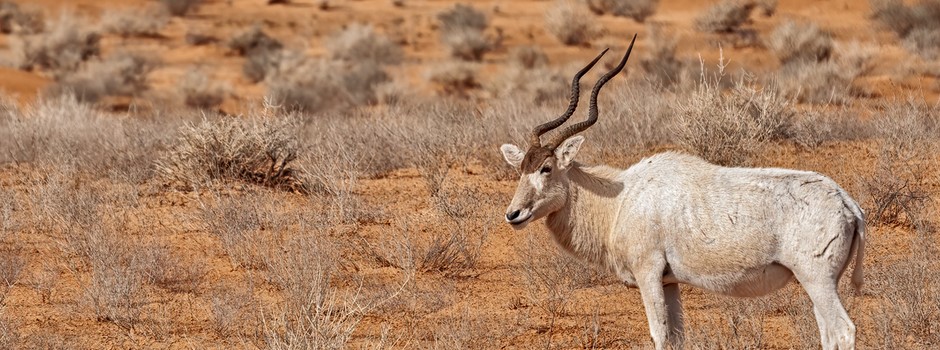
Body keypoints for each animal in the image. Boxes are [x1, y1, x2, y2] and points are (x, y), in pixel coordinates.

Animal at [500, 34, 868, 348]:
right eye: (521, 169)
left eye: (546, 168)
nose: (513, 214)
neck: (620, 200)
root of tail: (847, 203)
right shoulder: (670, 282)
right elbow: (677, 337)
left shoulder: (648, 273)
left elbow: (659, 335)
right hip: (817, 282)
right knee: (829, 333)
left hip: (816, 279)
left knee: (843, 330)